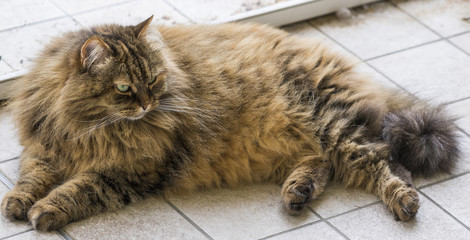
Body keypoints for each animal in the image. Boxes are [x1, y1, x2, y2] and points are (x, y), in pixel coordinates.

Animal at [1, 16, 460, 231]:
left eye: (153, 81)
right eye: (125, 88)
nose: (149, 103)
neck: (87, 128)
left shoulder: (133, 170)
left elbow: (79, 188)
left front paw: (45, 211)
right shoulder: (45, 147)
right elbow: (30, 177)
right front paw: (17, 204)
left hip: (328, 122)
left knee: (384, 163)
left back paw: (403, 203)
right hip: (307, 138)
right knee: (324, 162)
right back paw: (296, 194)